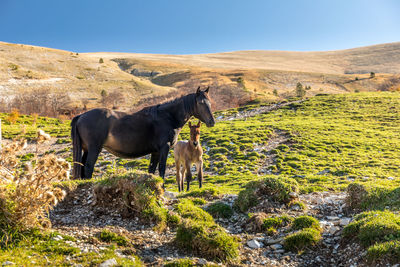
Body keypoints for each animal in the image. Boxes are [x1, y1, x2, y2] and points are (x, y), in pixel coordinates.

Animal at [72, 87, 216, 185]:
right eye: (201, 103)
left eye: (209, 102)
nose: (211, 122)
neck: (167, 117)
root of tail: (81, 116)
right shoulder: (164, 148)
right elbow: (162, 169)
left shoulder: (156, 152)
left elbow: (151, 170)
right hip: (94, 149)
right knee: (88, 167)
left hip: (86, 149)